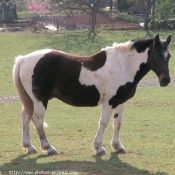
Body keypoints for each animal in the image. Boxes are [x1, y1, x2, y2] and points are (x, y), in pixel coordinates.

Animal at [13, 34, 172, 155]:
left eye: (168, 56)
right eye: (157, 55)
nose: (166, 80)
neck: (123, 65)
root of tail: (24, 59)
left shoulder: (120, 102)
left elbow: (117, 123)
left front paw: (117, 146)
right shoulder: (109, 102)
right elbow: (104, 122)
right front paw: (99, 147)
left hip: (31, 100)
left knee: (26, 117)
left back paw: (29, 147)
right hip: (40, 100)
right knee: (37, 120)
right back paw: (48, 148)